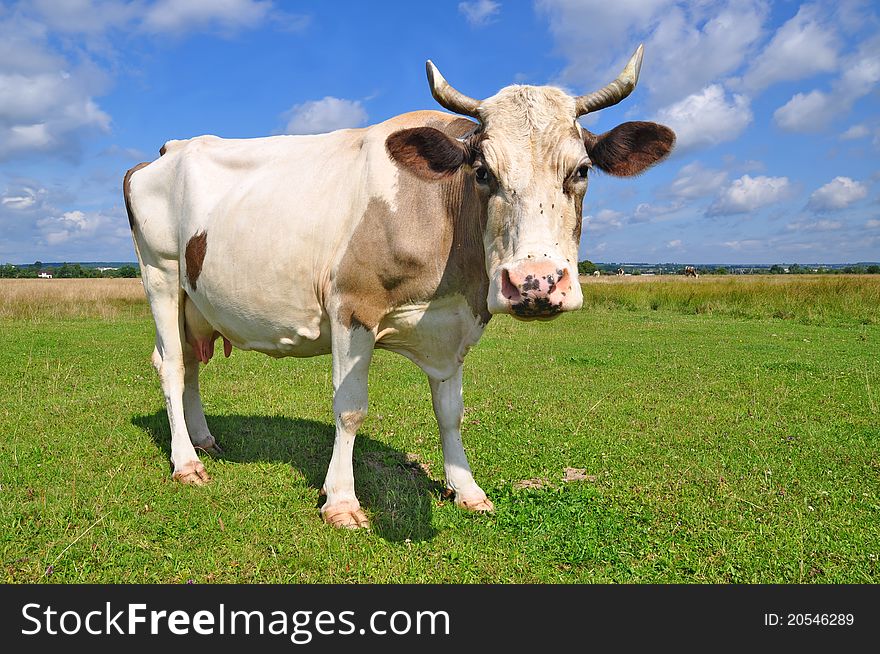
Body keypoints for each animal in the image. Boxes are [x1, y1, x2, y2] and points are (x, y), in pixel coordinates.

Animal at [124, 44, 672, 528]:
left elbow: (451, 412)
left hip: (196, 300)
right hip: (161, 274)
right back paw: (186, 462)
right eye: (482, 171)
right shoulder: (352, 308)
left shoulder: (452, 326)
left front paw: (466, 488)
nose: (534, 281)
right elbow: (349, 410)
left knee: (192, 362)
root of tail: (170, 149)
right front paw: (341, 501)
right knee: (171, 364)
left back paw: (203, 440)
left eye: (581, 171)